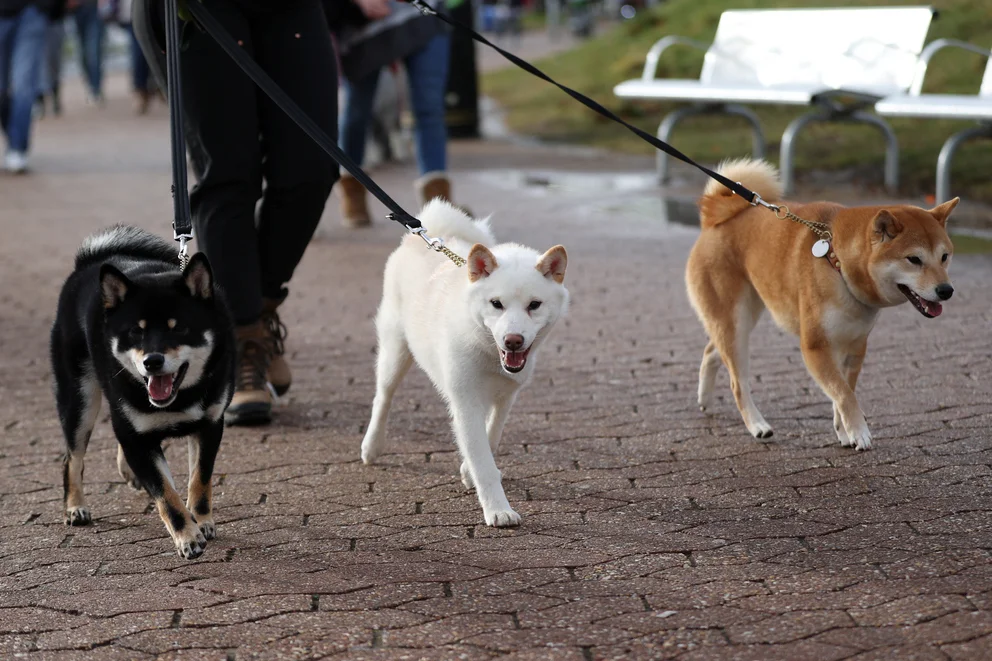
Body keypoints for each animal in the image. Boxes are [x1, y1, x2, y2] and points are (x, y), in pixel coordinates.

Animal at [51, 226, 235, 556]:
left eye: (179, 328)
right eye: (136, 332)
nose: (152, 361)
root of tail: (89, 263)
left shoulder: (210, 424)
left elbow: (199, 481)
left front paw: (202, 521)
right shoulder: (138, 437)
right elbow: (167, 496)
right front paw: (187, 537)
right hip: (80, 399)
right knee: (72, 457)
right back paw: (74, 506)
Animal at [362, 200, 564, 524]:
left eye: (534, 305)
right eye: (496, 304)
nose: (513, 340)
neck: (489, 352)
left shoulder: (506, 397)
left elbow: (490, 439)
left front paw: (469, 472)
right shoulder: (466, 401)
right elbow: (483, 460)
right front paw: (498, 510)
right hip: (395, 352)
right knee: (383, 397)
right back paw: (372, 446)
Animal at [684, 159, 956, 448]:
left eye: (944, 257)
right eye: (914, 259)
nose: (946, 290)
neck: (838, 263)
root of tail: (713, 220)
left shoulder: (854, 347)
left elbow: (843, 392)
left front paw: (844, 432)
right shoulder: (816, 347)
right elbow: (844, 394)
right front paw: (859, 432)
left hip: (745, 315)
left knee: (711, 351)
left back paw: (705, 399)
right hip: (736, 322)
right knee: (738, 382)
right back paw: (757, 425)